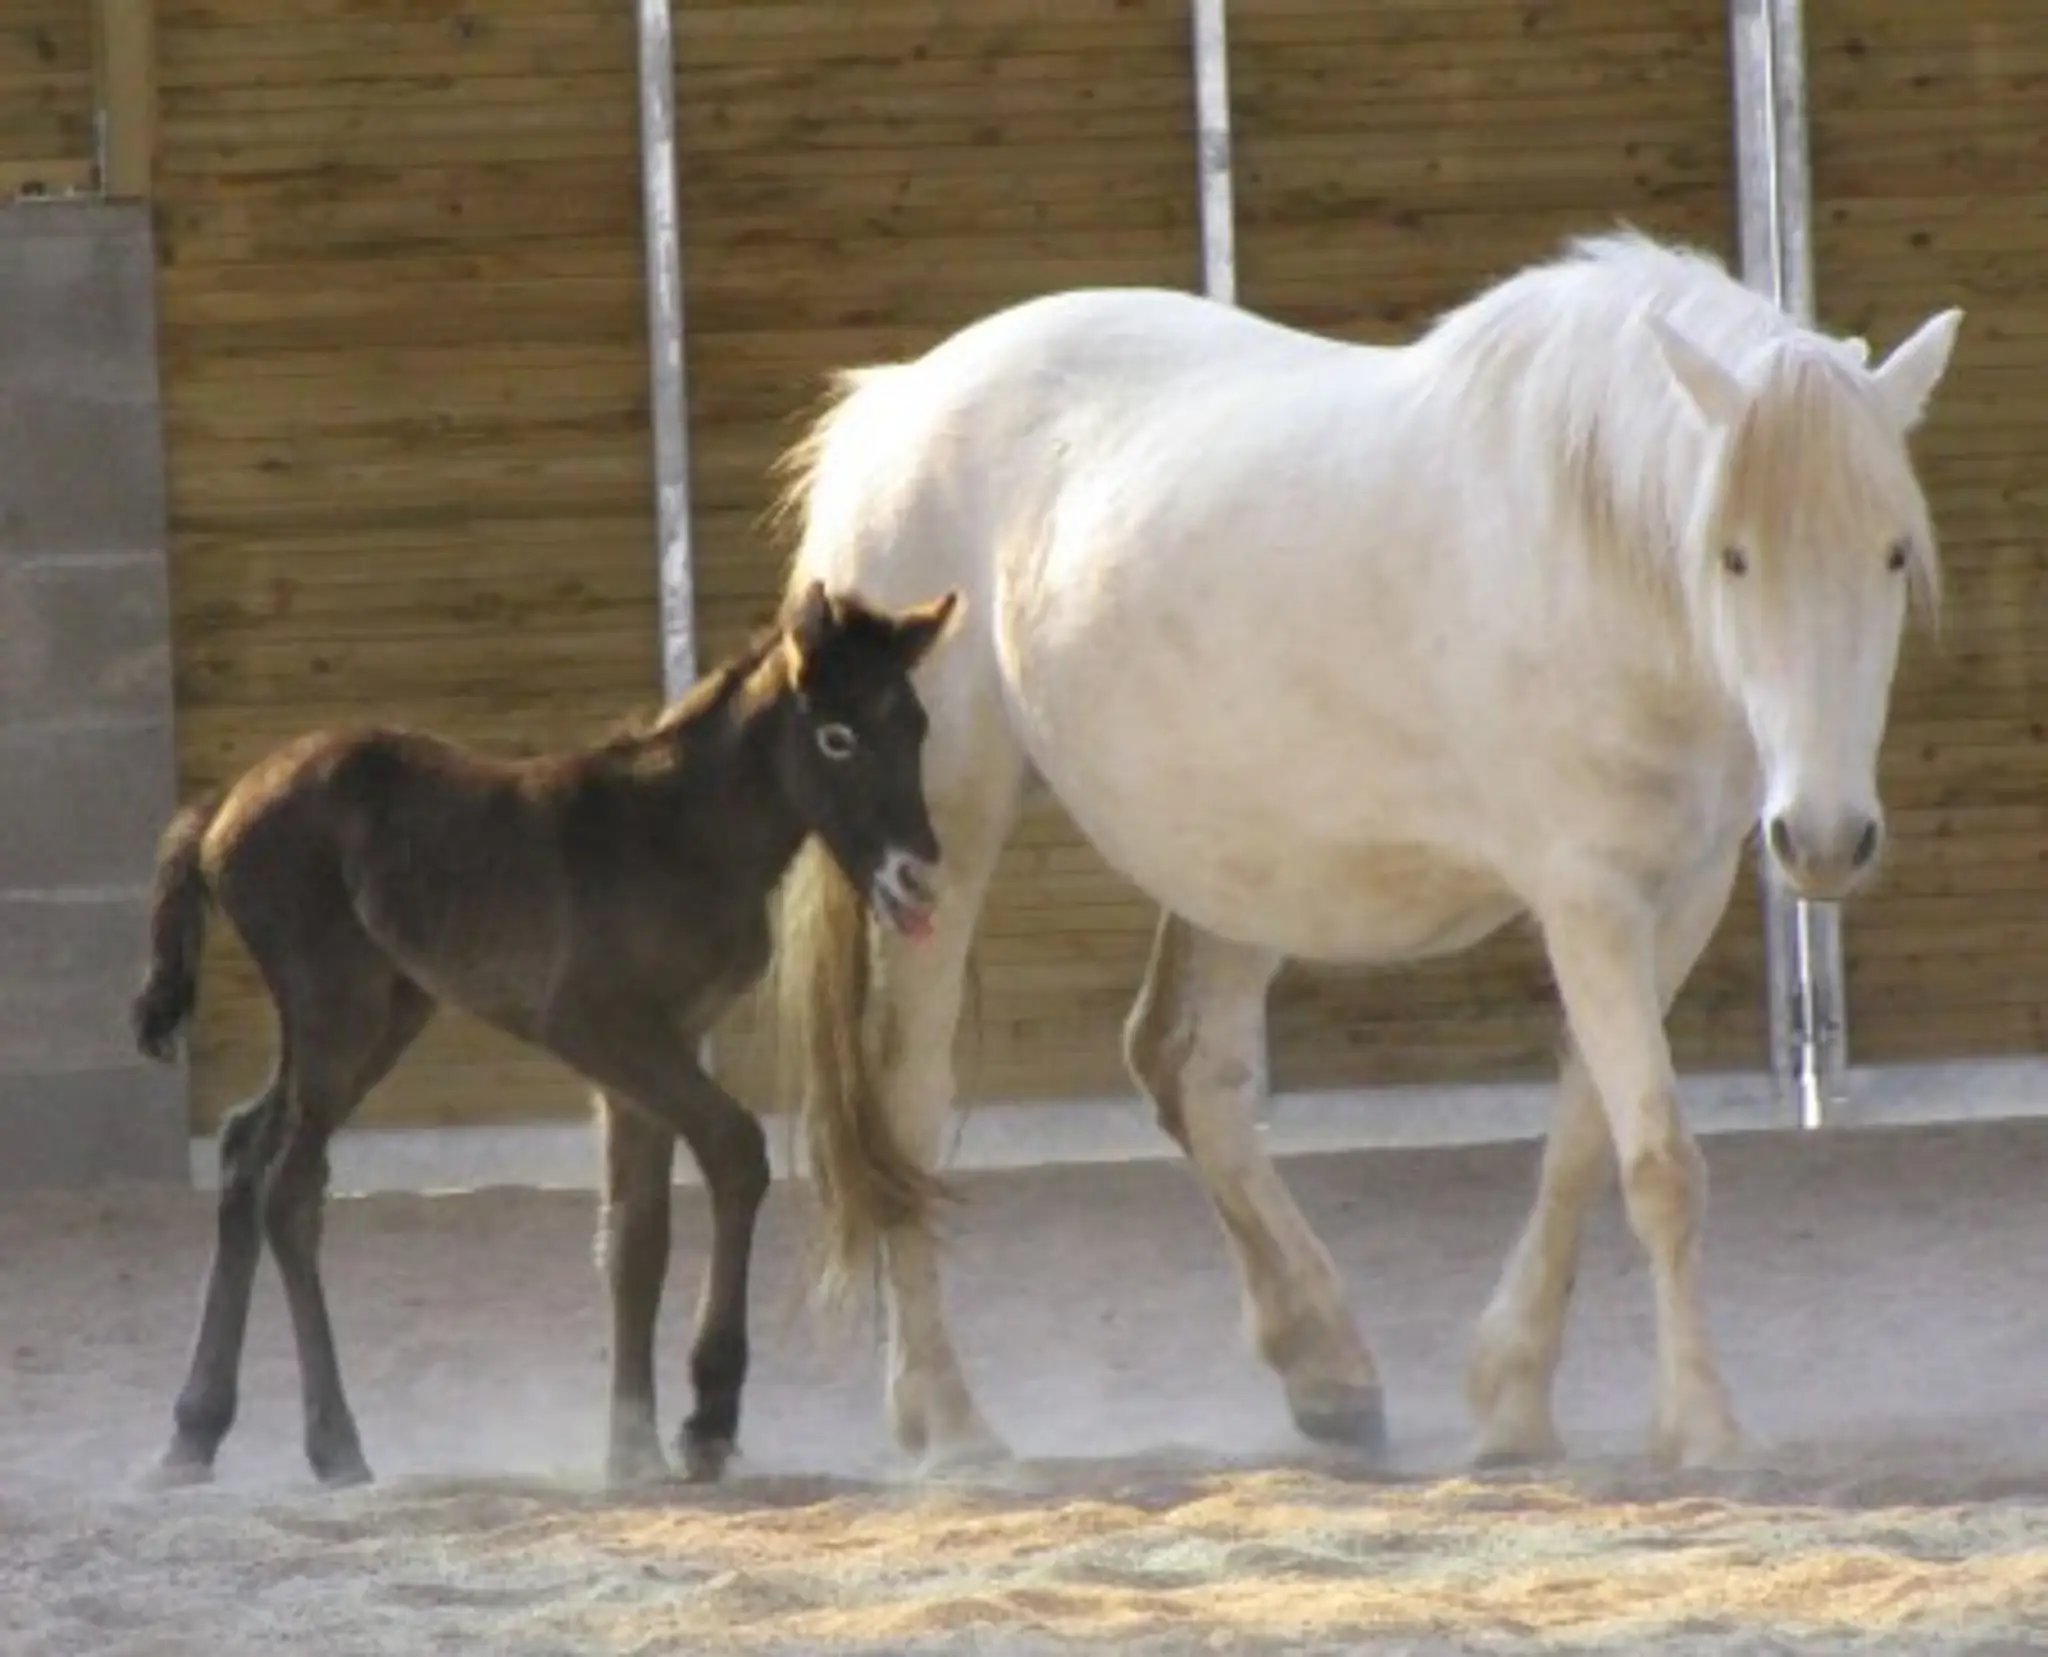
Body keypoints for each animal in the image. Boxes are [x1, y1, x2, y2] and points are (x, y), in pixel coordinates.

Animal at [130, 580, 964, 1490]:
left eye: (917, 725)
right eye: (837, 736)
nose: (918, 879)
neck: (680, 833)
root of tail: (222, 808)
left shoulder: (657, 1046)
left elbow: (637, 1236)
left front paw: (630, 1447)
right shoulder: (596, 1026)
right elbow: (735, 1150)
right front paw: (705, 1417)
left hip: (385, 1012)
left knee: (246, 1149)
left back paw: (192, 1433)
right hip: (334, 1005)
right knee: (289, 1187)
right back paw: (334, 1444)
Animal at [765, 229, 1963, 1474]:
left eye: (1888, 554)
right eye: (1730, 556)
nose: (1822, 837)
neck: (1590, 551)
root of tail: (894, 408)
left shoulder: (1673, 898)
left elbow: (1583, 1141)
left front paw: (1512, 1399)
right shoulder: (1585, 897)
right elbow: (1657, 1164)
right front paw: (1703, 1425)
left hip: (1236, 863)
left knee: (1188, 1069)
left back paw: (1324, 1368)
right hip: (943, 850)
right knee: (906, 1107)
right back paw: (947, 1419)